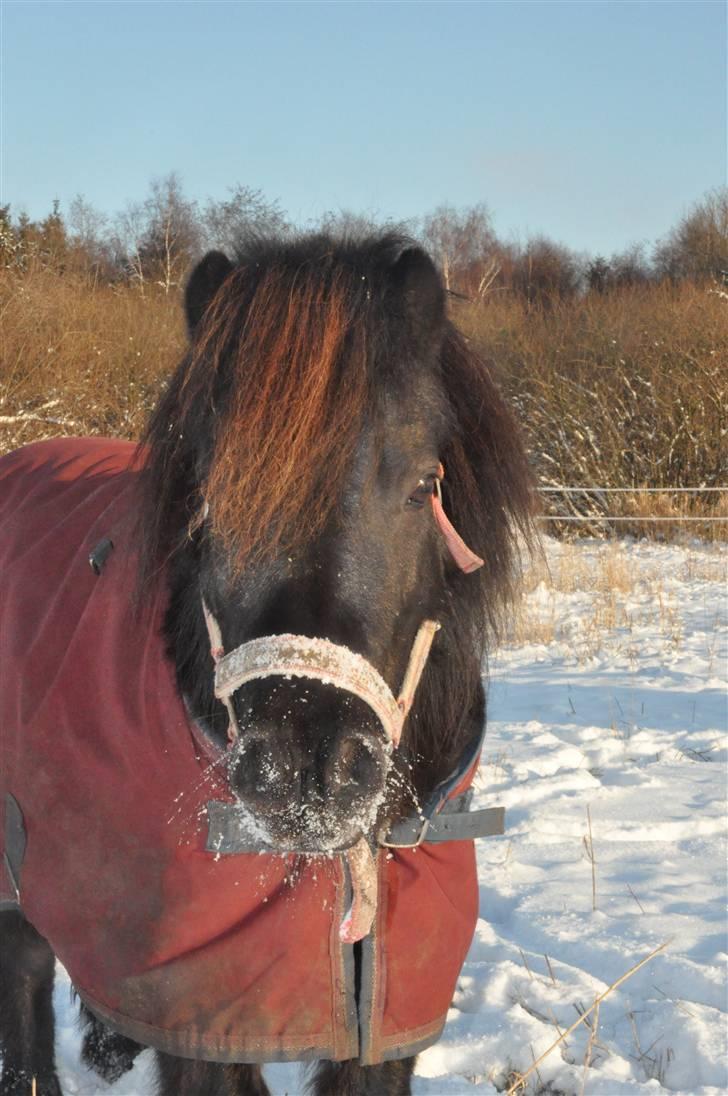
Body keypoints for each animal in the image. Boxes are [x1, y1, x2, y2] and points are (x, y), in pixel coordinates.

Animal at [1, 233, 535, 1096]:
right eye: (209, 497)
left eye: (424, 484)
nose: (306, 768)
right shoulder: (205, 1018)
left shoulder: (388, 1013)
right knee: (23, 964)